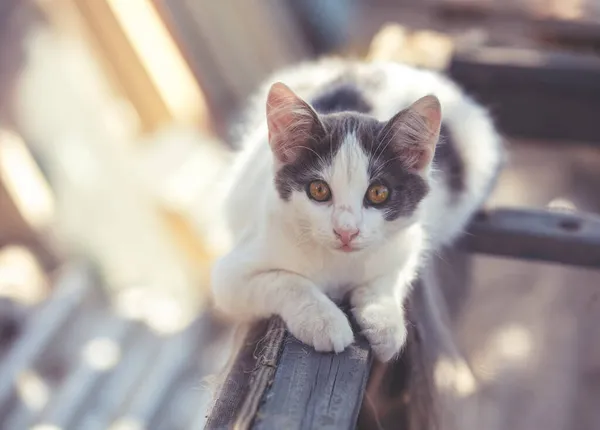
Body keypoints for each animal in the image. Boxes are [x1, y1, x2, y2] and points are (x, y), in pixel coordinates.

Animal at [210, 57, 502, 360]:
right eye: (318, 190)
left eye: (378, 193)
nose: (346, 231)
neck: (340, 263)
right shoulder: (230, 277)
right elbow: (287, 281)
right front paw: (323, 320)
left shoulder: (410, 241)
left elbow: (391, 277)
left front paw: (384, 319)